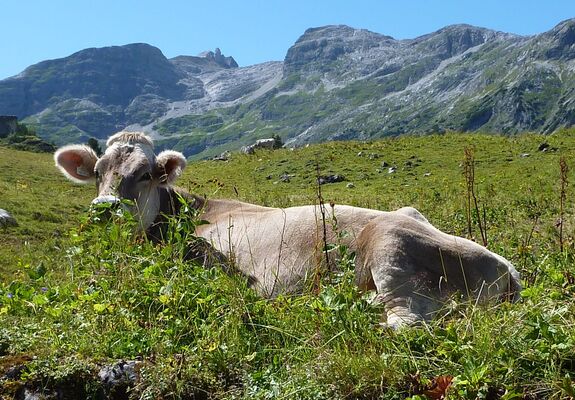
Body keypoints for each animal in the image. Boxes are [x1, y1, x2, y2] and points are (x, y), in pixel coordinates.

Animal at [54, 132, 520, 328]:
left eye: (147, 174)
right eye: (98, 171)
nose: (104, 210)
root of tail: (507, 268)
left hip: (391, 247)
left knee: (406, 322)